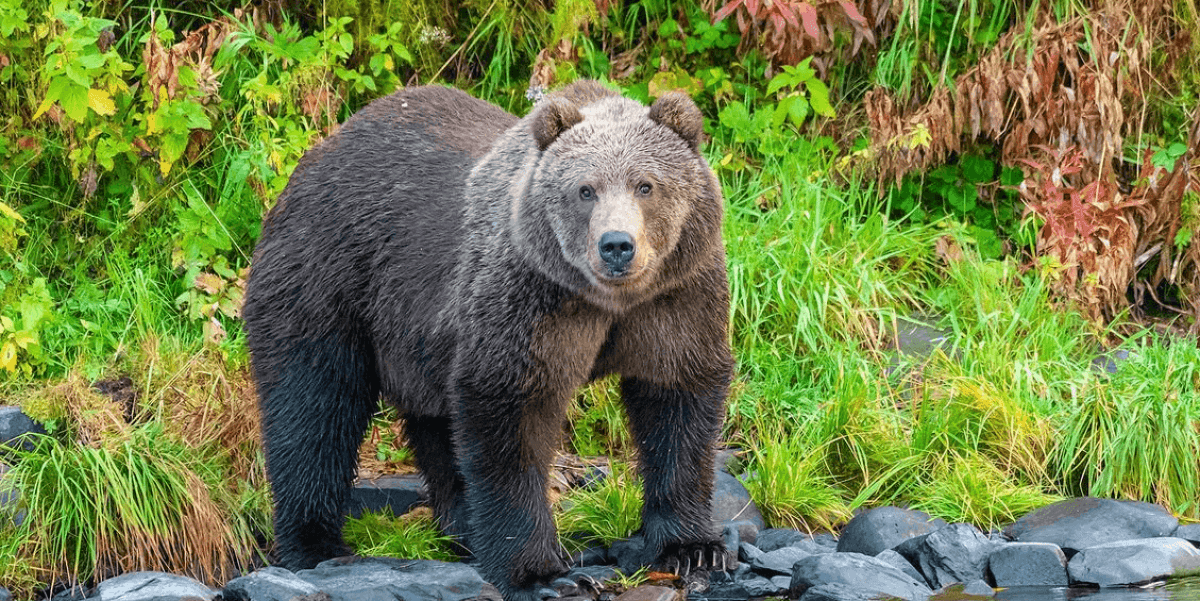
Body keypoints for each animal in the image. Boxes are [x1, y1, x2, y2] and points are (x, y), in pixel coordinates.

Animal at [241, 80, 729, 599]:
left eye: (645, 185)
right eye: (585, 190)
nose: (617, 245)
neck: (605, 301)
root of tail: (316, 157)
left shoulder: (675, 294)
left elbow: (677, 399)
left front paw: (692, 547)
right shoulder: (527, 297)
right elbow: (508, 415)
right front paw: (545, 575)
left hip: (420, 336)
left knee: (436, 427)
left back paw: (462, 528)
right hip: (327, 282)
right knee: (314, 408)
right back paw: (315, 546)